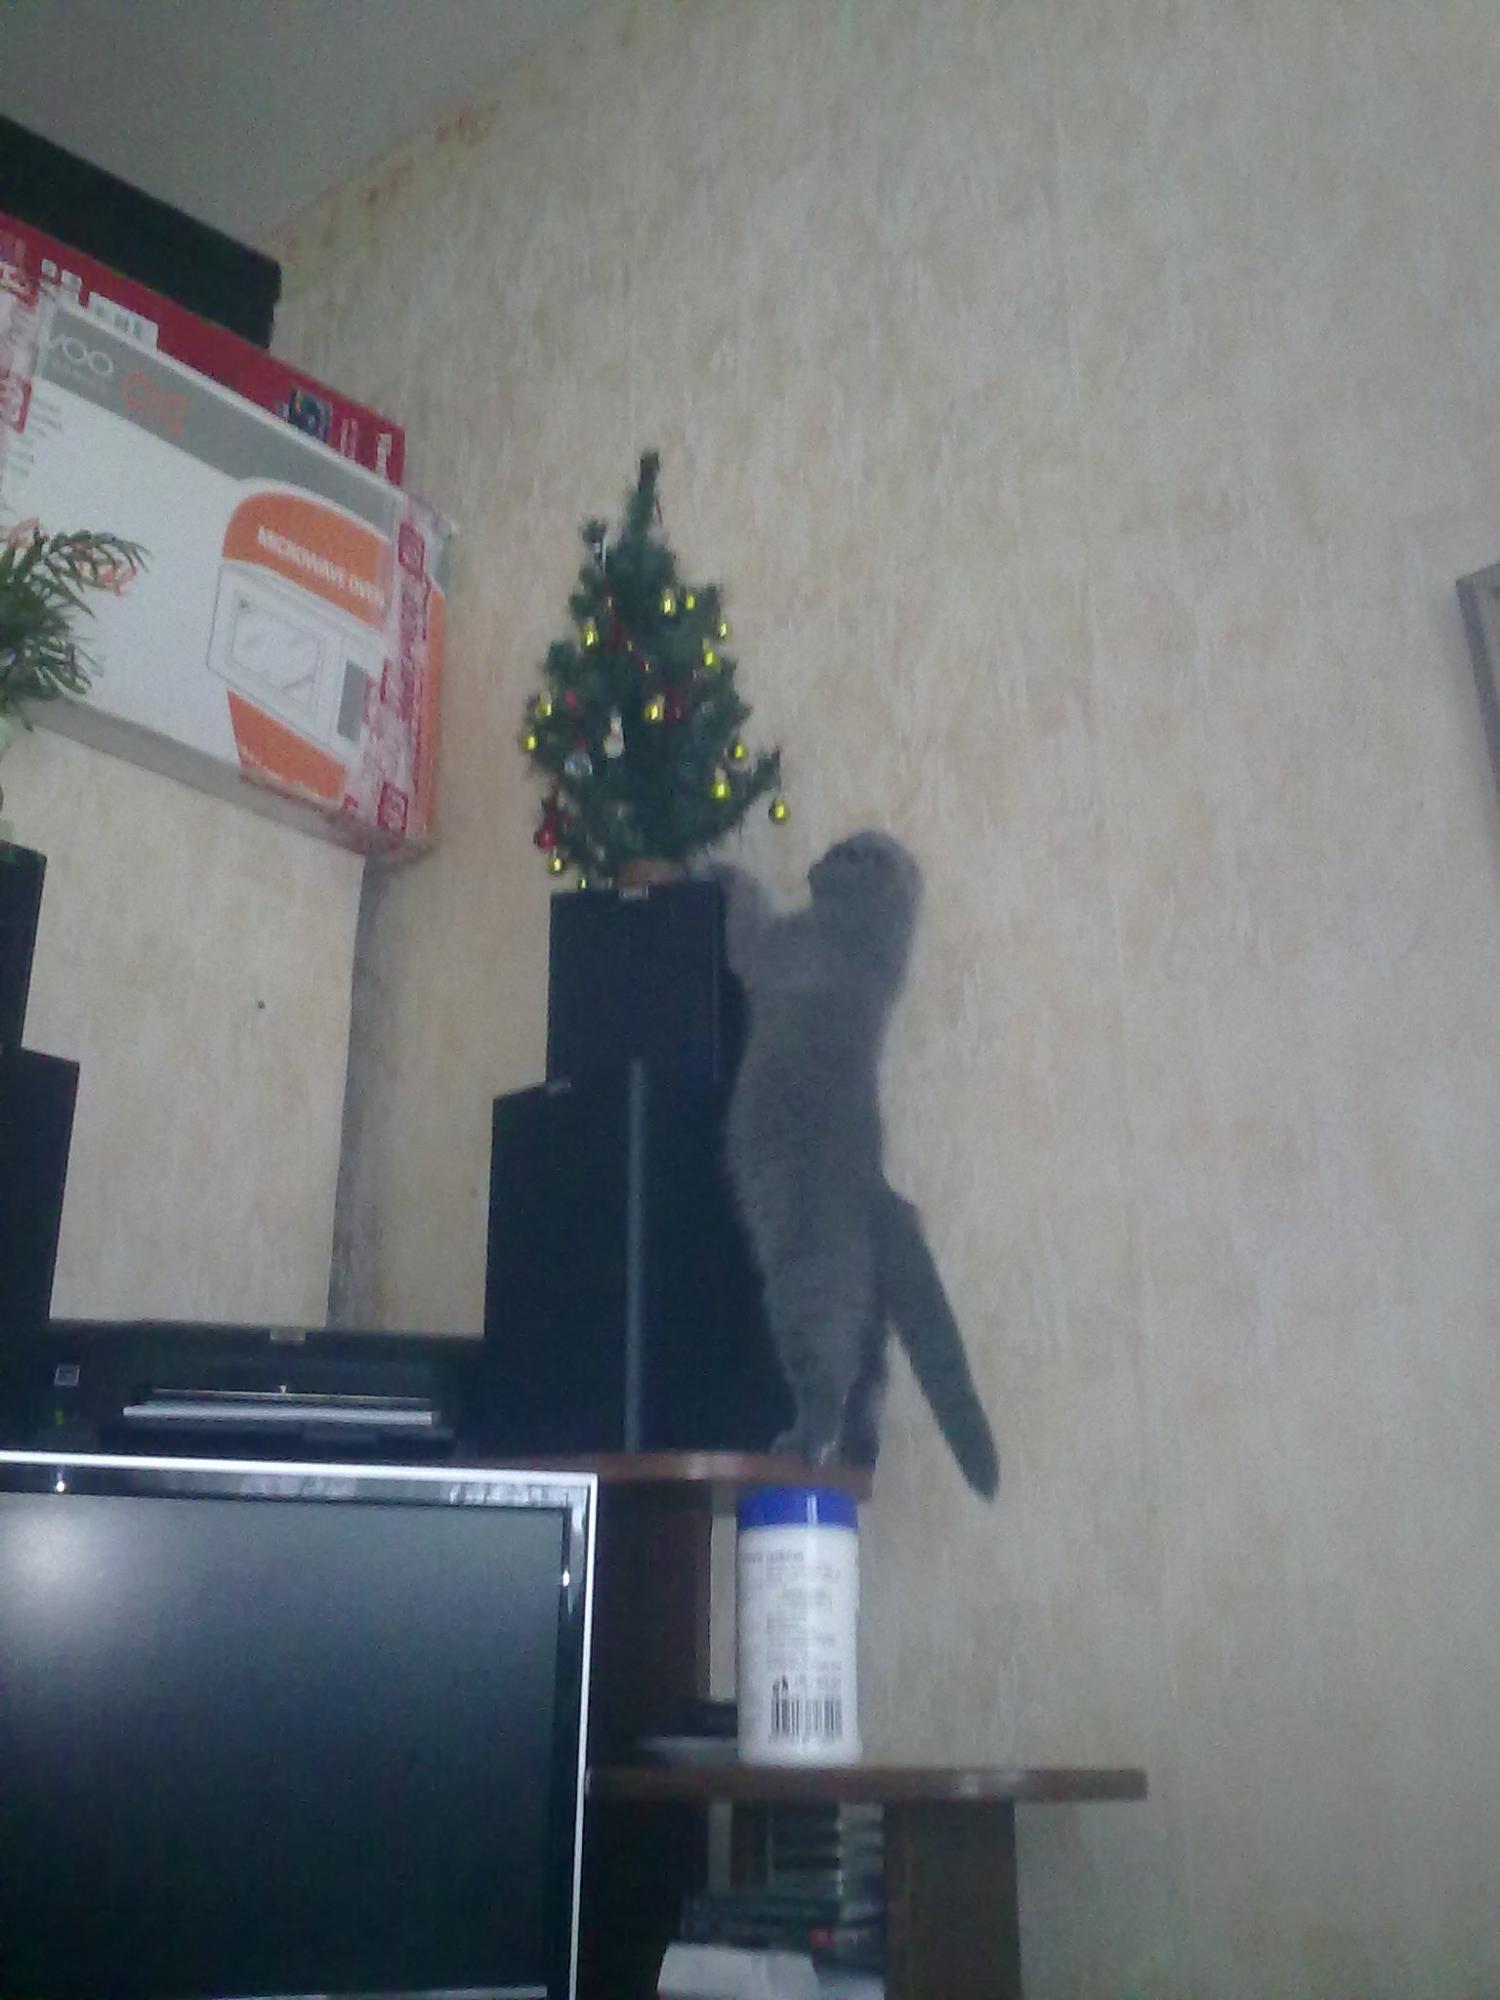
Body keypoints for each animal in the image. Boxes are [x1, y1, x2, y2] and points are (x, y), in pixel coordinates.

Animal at [716, 832, 999, 1498]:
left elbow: (747, 926)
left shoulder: (778, 946)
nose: (814, 863)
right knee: (871, 1383)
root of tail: (879, 1192)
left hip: (806, 1286)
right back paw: (853, 1452)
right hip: (872, 1316)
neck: (864, 944)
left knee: (828, 1373)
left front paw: (720, 867)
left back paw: (806, 1441)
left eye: (841, 853)